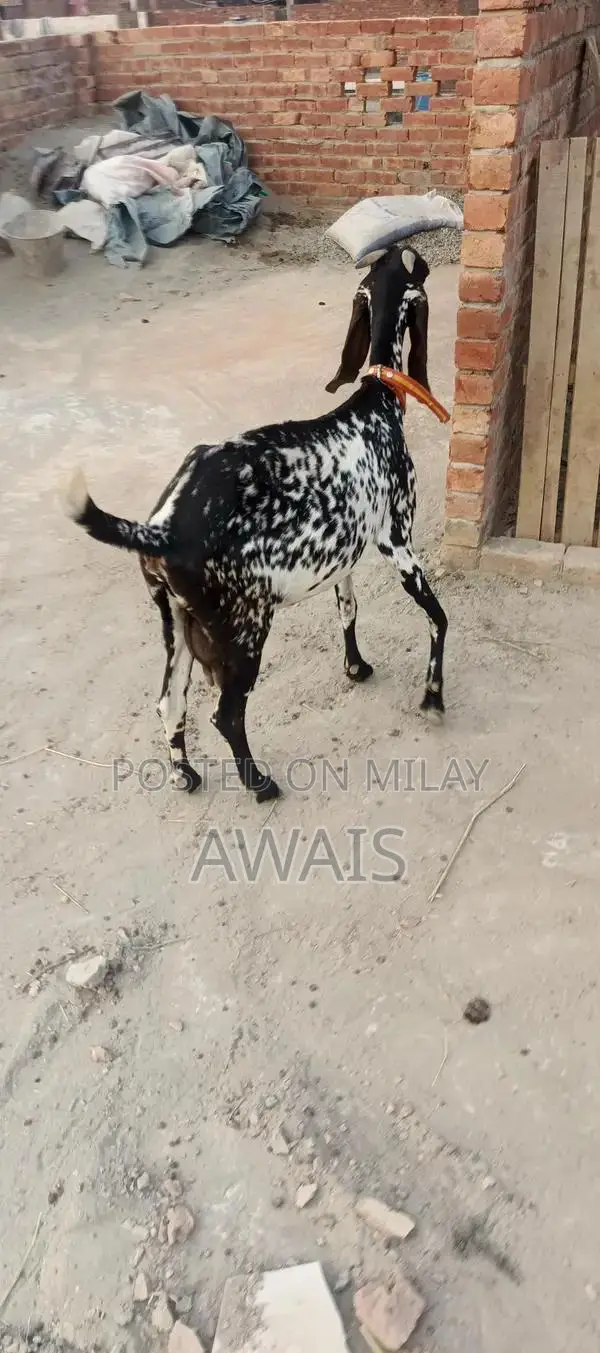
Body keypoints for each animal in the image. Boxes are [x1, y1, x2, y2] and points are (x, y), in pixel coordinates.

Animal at [64, 245, 449, 803]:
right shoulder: (397, 542)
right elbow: (439, 619)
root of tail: (162, 528)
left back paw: (184, 773)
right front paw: (434, 697)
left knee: (169, 703)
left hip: (176, 620)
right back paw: (260, 783)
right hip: (246, 628)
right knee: (225, 715)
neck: (371, 407)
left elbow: (348, 609)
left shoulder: (345, 554)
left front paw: (356, 667)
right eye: (416, 263)